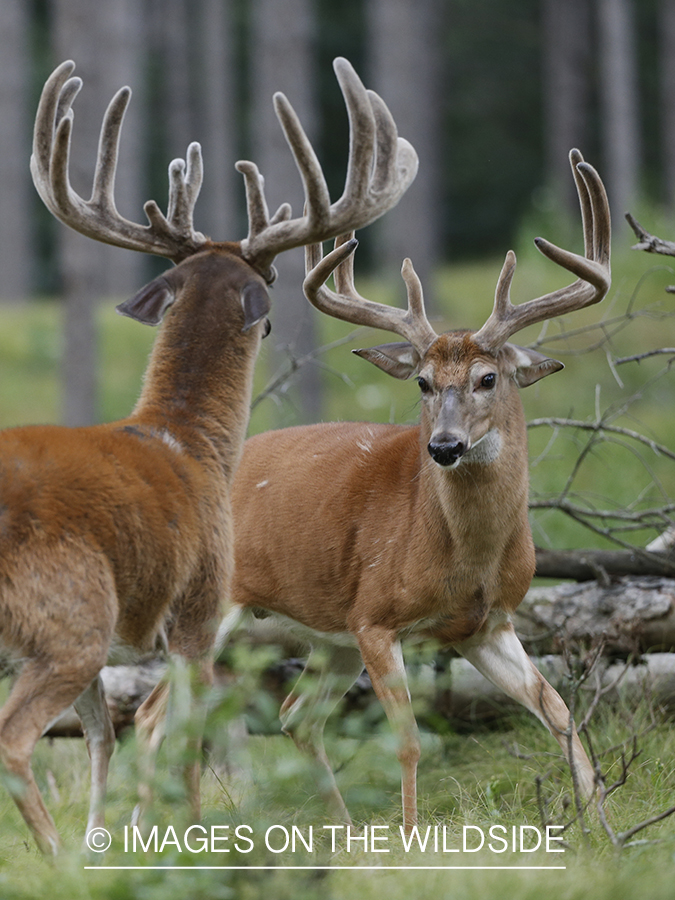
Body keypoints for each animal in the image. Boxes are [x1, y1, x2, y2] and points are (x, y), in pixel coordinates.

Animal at [0, 52, 418, 856]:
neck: (191, 444)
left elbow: (103, 739)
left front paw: (104, 844)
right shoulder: (196, 606)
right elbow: (185, 738)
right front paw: (185, 835)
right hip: (71, 620)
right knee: (14, 740)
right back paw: (52, 854)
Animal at [223, 148, 612, 828]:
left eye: (489, 377)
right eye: (424, 383)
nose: (444, 446)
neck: (463, 555)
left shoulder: (486, 624)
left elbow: (559, 710)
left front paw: (600, 821)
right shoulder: (376, 615)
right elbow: (406, 740)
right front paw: (408, 835)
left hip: (327, 636)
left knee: (294, 716)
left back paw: (345, 834)